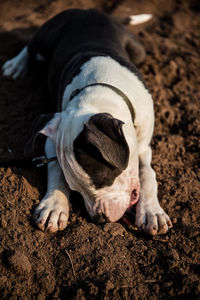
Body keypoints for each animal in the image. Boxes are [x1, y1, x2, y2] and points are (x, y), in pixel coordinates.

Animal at [1, 8, 172, 234]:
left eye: (103, 180)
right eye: (75, 189)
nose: (99, 219)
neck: (99, 91)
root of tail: (89, 11)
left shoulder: (143, 145)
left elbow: (147, 174)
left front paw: (152, 212)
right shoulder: (52, 136)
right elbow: (55, 168)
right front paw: (54, 206)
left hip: (138, 50)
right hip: (48, 34)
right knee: (31, 45)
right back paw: (16, 65)